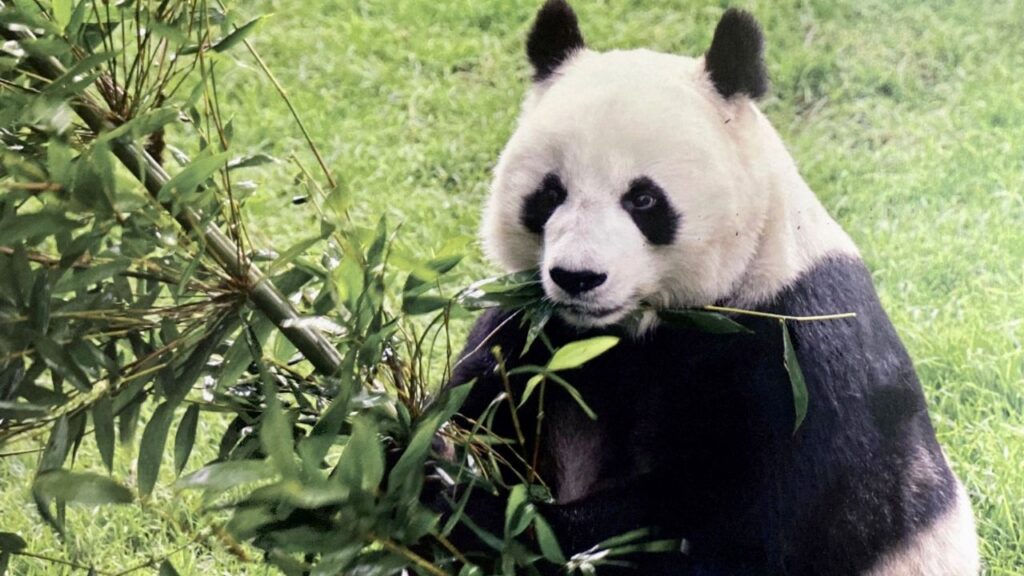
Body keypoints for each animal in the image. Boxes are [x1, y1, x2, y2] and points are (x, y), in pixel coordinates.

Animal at [446, 1, 980, 574]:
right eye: (549, 193)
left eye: (643, 200)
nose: (578, 277)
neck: (633, 328)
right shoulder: (532, 331)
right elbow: (478, 402)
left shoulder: (799, 359)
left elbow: (728, 529)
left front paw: (471, 506)